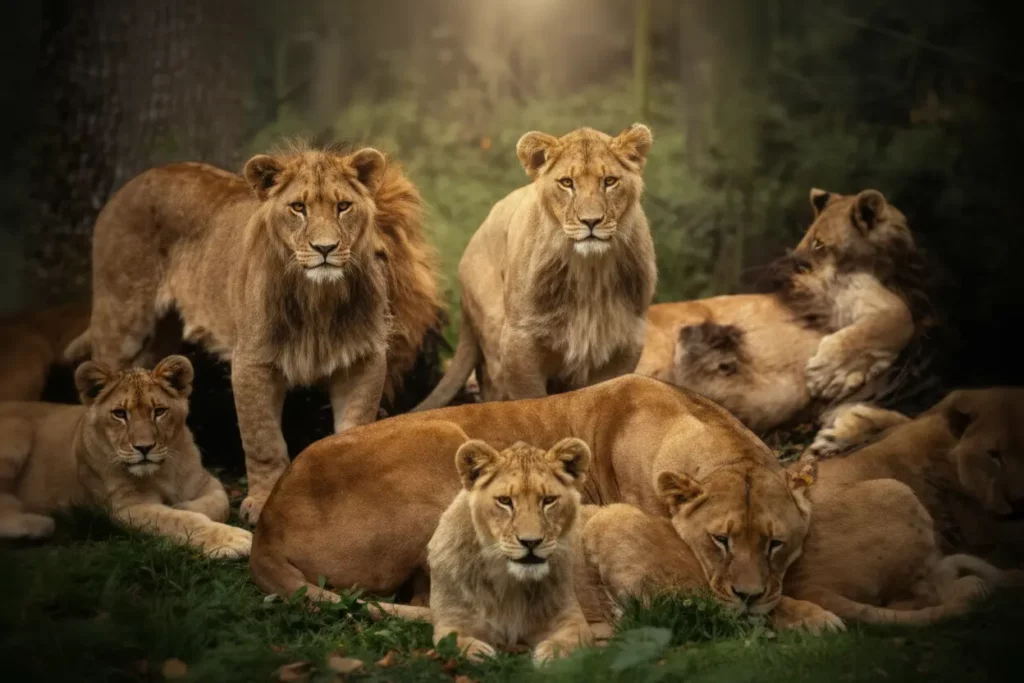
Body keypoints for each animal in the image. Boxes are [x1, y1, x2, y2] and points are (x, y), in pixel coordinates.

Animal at [0, 355, 251, 558]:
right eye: (120, 414)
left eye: (159, 411)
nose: (144, 447)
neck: (162, 472)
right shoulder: (125, 508)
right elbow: (179, 520)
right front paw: (232, 540)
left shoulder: (208, 482)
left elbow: (219, 502)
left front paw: (183, 505)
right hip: (19, 430)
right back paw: (39, 524)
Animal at [64, 143, 440, 524]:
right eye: (298, 208)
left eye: (343, 206)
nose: (325, 249)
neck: (318, 299)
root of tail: (133, 182)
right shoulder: (252, 363)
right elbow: (263, 441)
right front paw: (262, 503)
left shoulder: (363, 360)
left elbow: (355, 428)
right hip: (121, 320)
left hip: (159, 339)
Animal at [413, 125, 657, 411]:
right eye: (567, 183)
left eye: (609, 181)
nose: (591, 221)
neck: (590, 268)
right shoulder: (519, 339)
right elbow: (532, 401)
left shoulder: (626, 338)